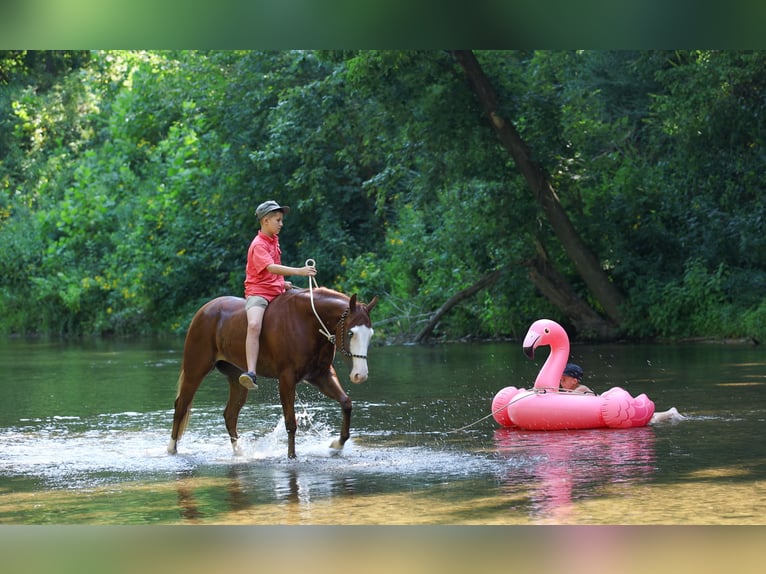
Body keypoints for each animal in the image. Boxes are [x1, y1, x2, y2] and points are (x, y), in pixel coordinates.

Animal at [167, 287, 377, 459]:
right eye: (350, 333)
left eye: (370, 334)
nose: (360, 375)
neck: (308, 323)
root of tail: (204, 310)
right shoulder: (286, 379)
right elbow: (291, 422)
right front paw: (292, 457)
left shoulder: (321, 375)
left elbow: (346, 403)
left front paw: (337, 445)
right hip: (195, 370)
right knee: (181, 406)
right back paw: (171, 449)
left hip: (236, 378)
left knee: (230, 415)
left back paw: (240, 452)